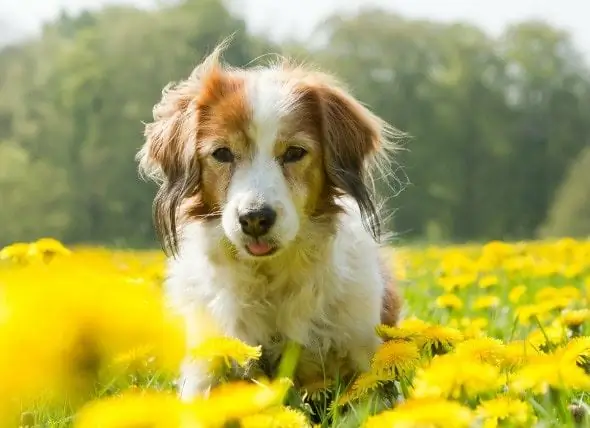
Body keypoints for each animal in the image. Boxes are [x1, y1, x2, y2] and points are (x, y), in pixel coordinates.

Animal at [137, 41, 404, 400]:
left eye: (294, 152)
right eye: (222, 153)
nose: (254, 218)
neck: (270, 279)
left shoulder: (365, 349)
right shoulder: (204, 365)